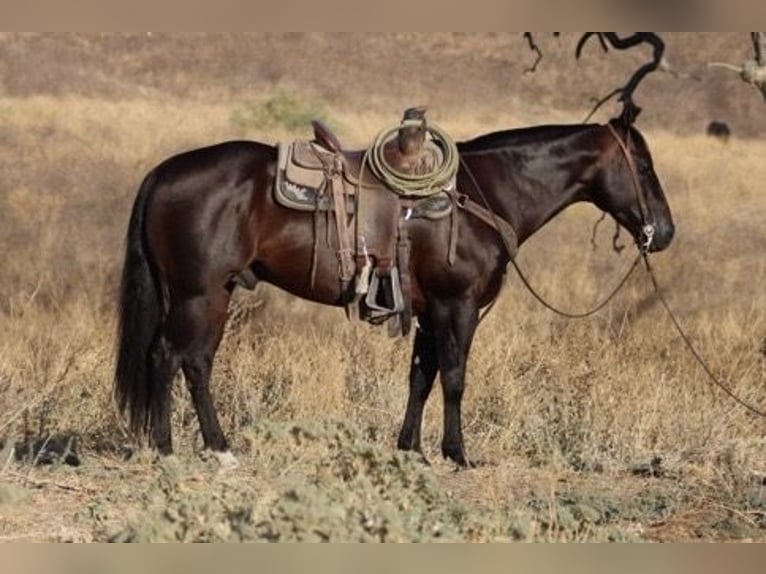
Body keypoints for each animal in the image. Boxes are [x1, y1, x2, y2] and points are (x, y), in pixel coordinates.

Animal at [112, 117, 672, 468]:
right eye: (644, 168)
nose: (664, 233)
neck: (484, 194)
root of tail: (163, 172)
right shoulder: (457, 306)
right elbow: (454, 379)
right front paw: (457, 453)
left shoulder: (428, 311)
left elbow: (420, 378)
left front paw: (411, 450)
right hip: (198, 293)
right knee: (167, 356)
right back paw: (166, 448)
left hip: (216, 293)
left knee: (197, 362)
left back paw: (220, 448)